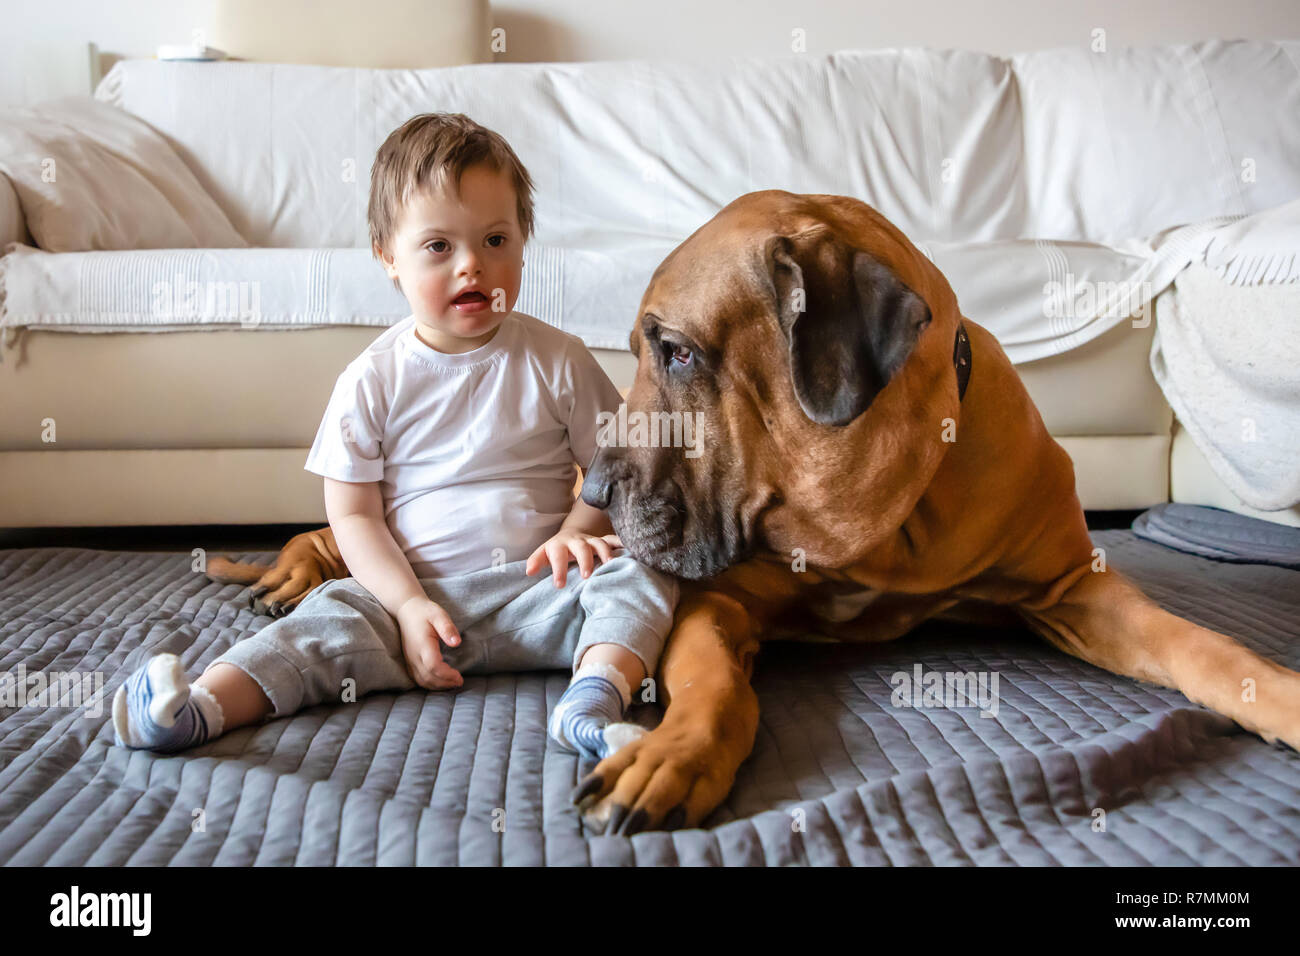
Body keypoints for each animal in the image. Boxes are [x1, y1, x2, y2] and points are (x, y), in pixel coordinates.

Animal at [208, 191, 1300, 832]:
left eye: (678, 351)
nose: (595, 491)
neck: (883, 522)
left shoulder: (1074, 588)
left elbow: (1205, 647)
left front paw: (1276, 693)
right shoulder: (718, 601)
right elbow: (716, 688)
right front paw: (673, 752)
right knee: (356, 532)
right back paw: (286, 572)